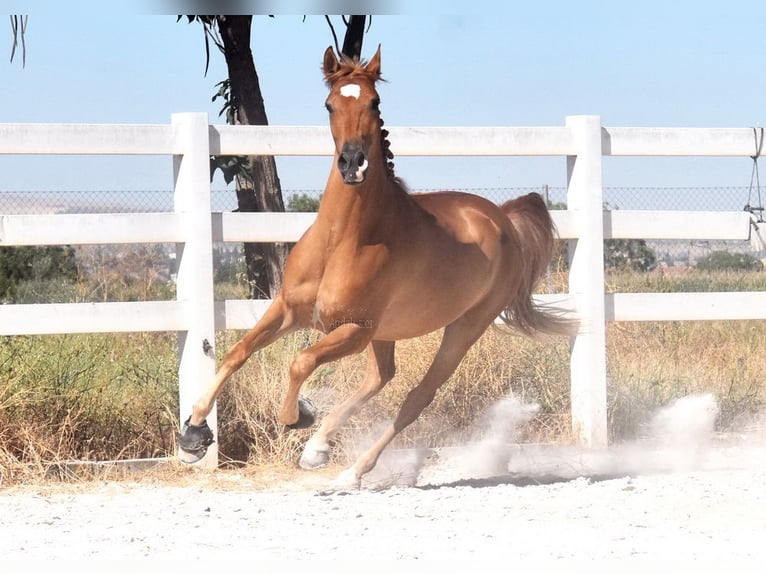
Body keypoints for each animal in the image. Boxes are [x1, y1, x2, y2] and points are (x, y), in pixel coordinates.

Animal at [178, 45, 576, 488]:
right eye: (330, 104)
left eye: (374, 102)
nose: (353, 163)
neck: (342, 240)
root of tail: (503, 217)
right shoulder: (289, 308)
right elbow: (239, 352)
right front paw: (194, 434)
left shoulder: (354, 328)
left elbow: (300, 362)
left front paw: (300, 415)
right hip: (389, 331)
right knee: (381, 376)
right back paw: (325, 451)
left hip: (464, 326)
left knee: (416, 397)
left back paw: (346, 467)